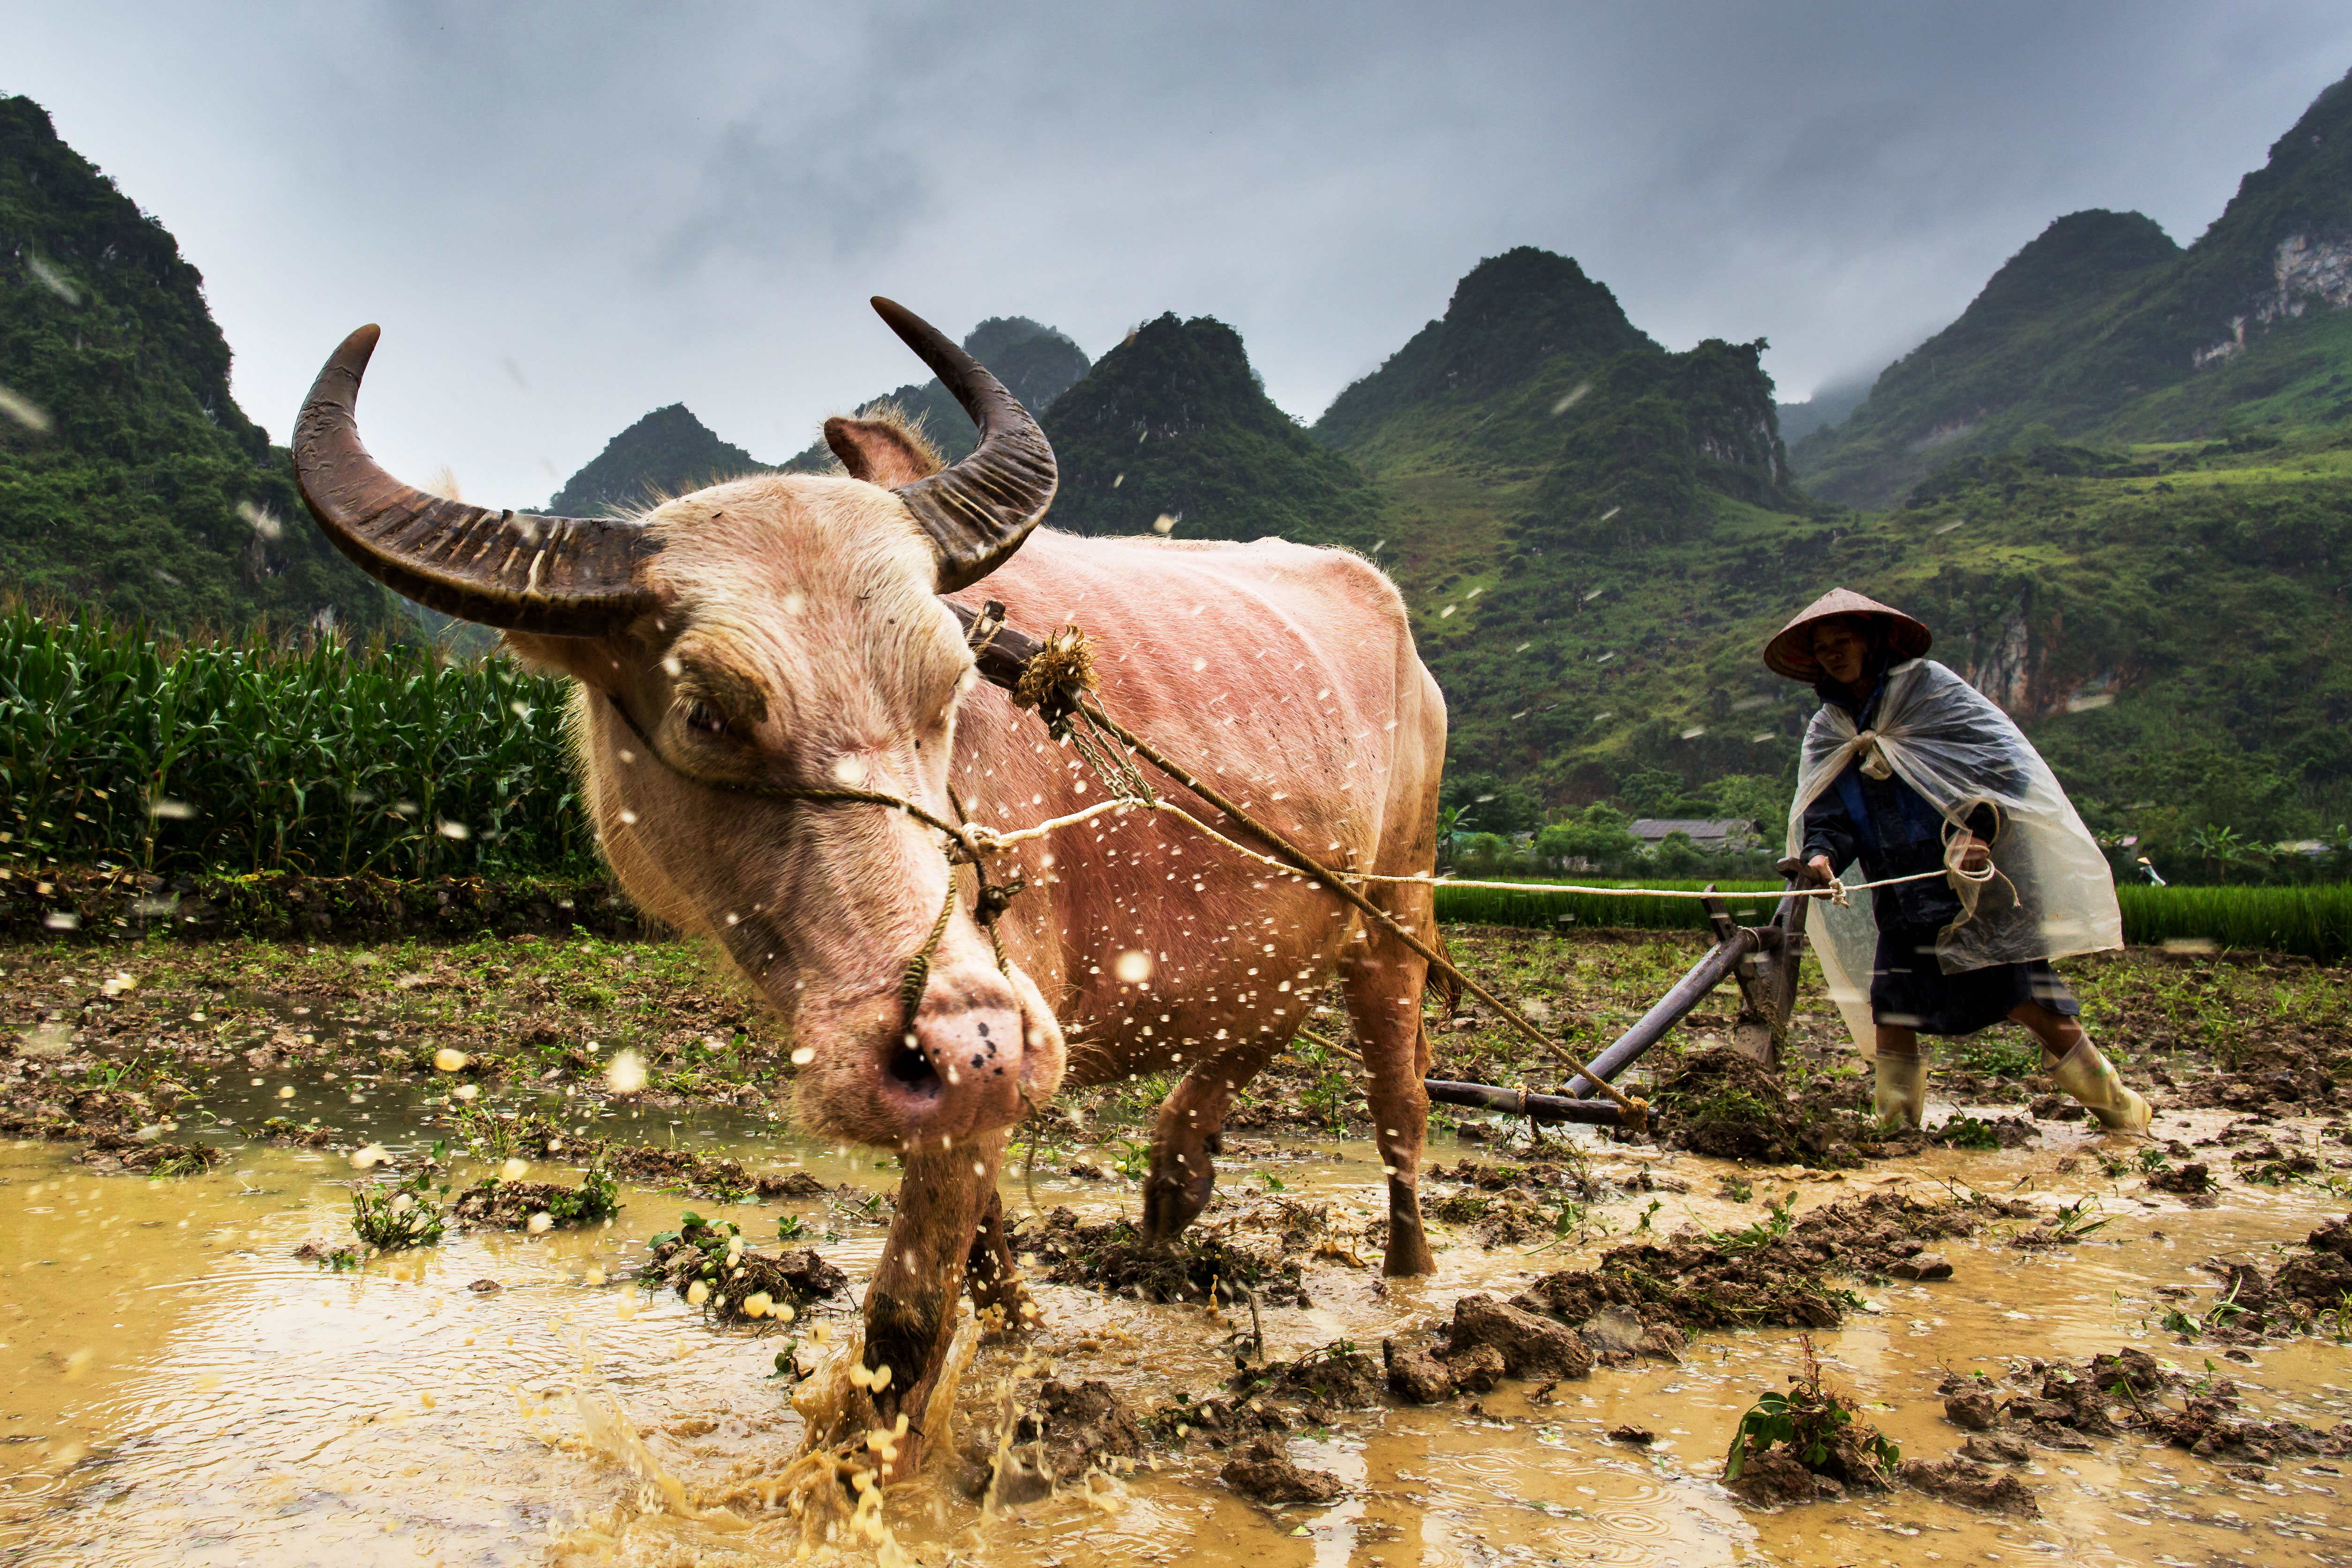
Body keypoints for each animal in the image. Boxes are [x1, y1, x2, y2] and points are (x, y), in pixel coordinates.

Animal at [285, 297, 1439, 1485]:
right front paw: (1020, 1329)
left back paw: (1405, 1273)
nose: (968, 1040)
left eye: (951, 685)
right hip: (1301, 922)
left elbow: (905, 1315)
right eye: (705, 709)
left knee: (1400, 1099)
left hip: (1402, 904)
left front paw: (851, 1478)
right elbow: (982, 1248)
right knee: (1261, 1023)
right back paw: (1172, 1190)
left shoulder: (997, 1025)